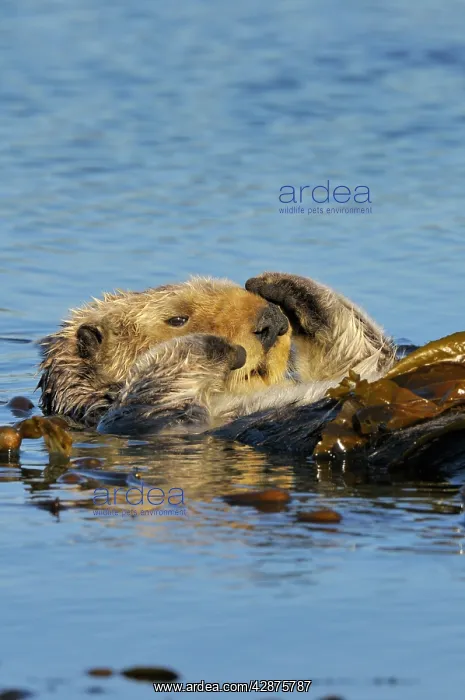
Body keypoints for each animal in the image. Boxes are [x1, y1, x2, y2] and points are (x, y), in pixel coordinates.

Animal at [38, 272, 396, 445]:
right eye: (177, 319)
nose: (273, 321)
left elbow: (365, 359)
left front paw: (280, 285)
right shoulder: (147, 422)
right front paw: (222, 346)